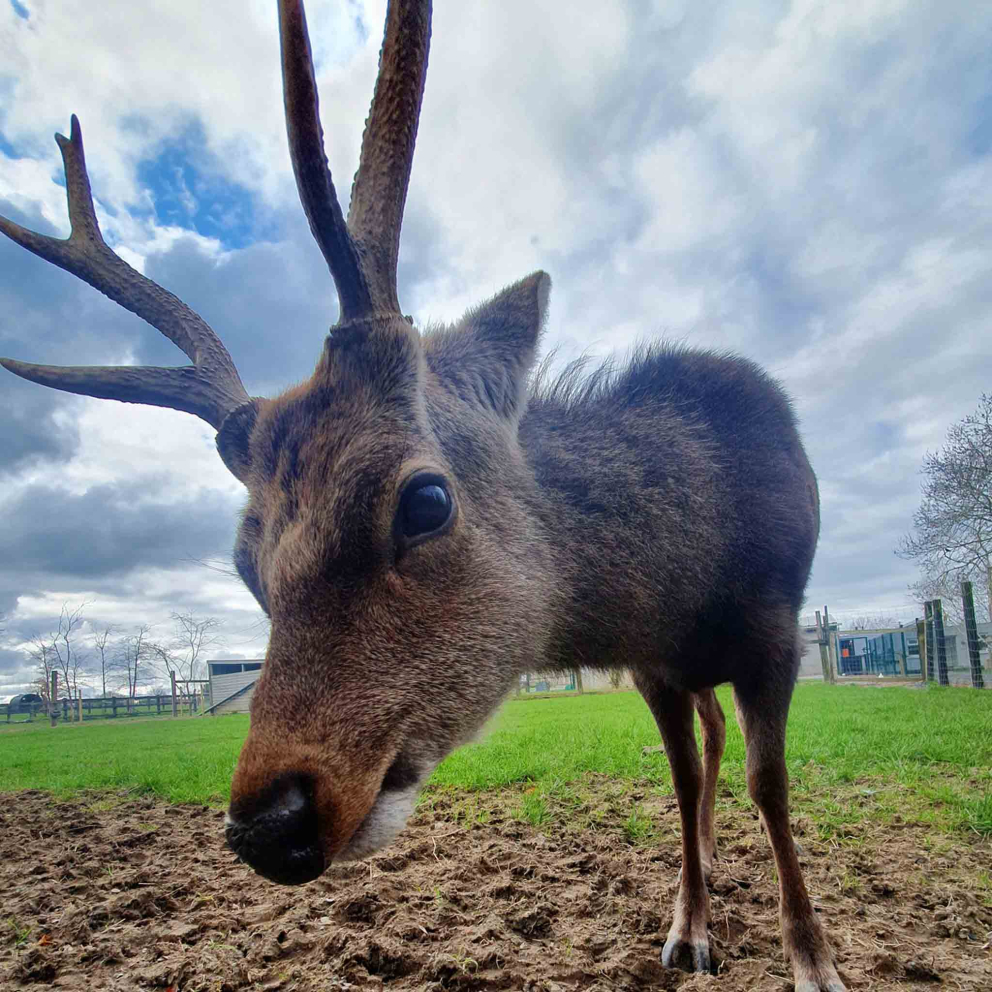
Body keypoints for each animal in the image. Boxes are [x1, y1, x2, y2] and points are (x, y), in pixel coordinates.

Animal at [0, 2, 845, 989]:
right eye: (245, 560)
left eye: (426, 501)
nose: (264, 826)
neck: (681, 578)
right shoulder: (652, 663)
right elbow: (682, 778)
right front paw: (688, 927)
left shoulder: (776, 626)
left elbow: (770, 782)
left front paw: (812, 956)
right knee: (707, 745)